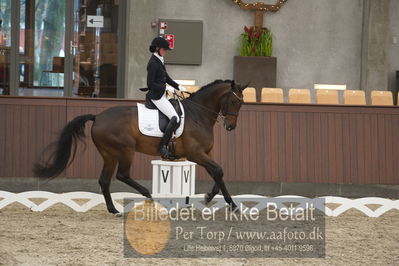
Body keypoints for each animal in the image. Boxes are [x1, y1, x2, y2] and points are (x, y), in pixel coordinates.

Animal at [33, 79, 247, 214]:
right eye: (234, 101)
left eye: (242, 103)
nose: (231, 126)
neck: (198, 115)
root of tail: (98, 117)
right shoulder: (196, 154)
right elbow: (218, 171)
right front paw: (215, 199)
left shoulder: (206, 153)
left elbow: (218, 173)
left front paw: (225, 202)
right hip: (125, 150)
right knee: (122, 175)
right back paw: (148, 195)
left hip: (109, 154)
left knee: (105, 180)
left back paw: (114, 210)